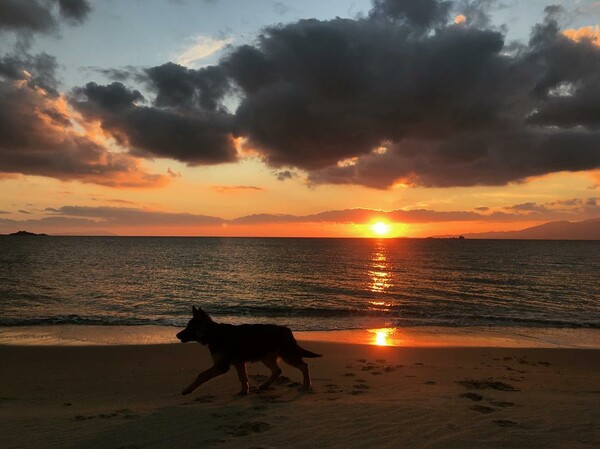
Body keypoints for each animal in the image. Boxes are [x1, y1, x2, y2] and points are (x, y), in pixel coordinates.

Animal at [176, 304, 322, 396]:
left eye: (189, 327)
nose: (177, 335)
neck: (214, 334)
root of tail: (288, 331)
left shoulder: (222, 366)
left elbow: (202, 375)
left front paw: (187, 390)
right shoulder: (238, 363)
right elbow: (242, 377)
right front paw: (244, 391)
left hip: (288, 356)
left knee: (304, 365)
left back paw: (306, 384)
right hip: (266, 357)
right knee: (277, 370)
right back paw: (265, 385)